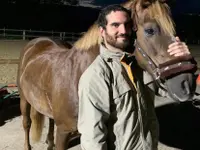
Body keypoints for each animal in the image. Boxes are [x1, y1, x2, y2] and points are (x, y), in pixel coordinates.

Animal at [17, 0, 197, 149]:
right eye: (150, 30)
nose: (187, 84)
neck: (78, 77)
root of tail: (37, 42)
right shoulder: (64, 132)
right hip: (24, 99)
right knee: (26, 124)